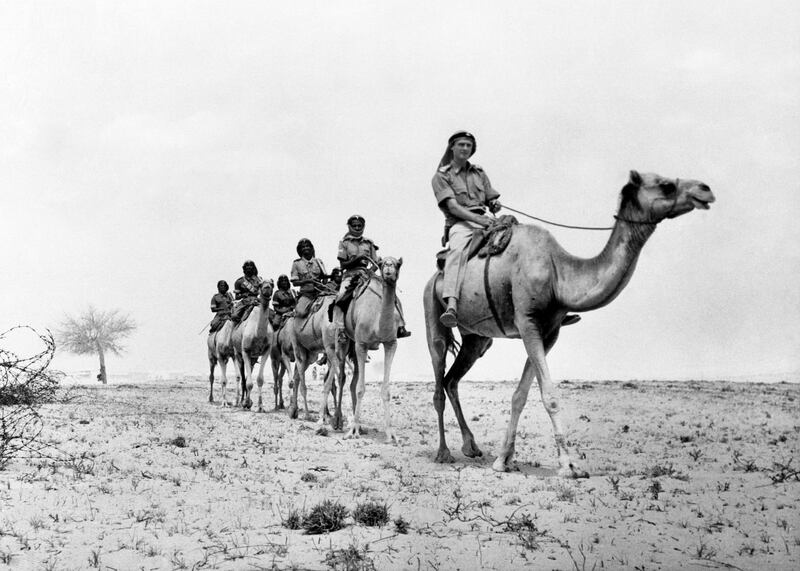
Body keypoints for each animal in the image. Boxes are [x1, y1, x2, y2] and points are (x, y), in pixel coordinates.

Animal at [231, 280, 276, 412]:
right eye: (261, 284)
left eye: (272, 284)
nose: (267, 288)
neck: (258, 334)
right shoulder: (245, 351)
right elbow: (248, 382)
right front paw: (246, 403)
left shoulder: (266, 351)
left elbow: (259, 379)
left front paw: (260, 406)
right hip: (237, 352)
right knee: (242, 377)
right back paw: (240, 402)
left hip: (253, 357)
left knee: (247, 373)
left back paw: (248, 401)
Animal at [338, 258, 404, 442]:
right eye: (381, 264)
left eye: (398, 264)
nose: (388, 268)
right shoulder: (361, 343)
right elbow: (361, 389)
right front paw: (353, 430)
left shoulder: (391, 343)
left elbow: (386, 390)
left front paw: (391, 433)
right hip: (344, 341)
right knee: (339, 377)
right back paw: (336, 421)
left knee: (351, 381)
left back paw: (357, 424)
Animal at [422, 172, 716, 476]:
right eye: (666, 185)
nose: (705, 189)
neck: (557, 274)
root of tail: (436, 275)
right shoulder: (527, 322)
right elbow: (550, 394)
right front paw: (570, 465)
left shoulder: (549, 332)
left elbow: (520, 395)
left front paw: (503, 459)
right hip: (432, 310)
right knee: (438, 376)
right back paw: (443, 453)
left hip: (477, 339)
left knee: (452, 379)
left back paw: (471, 447)